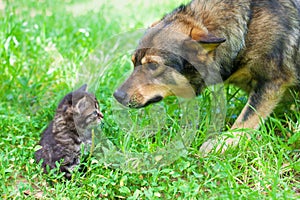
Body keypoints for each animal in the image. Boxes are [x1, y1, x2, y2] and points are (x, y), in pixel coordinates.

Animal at [113, 0, 300, 153]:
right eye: (133, 62)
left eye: (153, 65)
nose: (117, 96)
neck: (247, 26)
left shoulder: (271, 81)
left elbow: (246, 117)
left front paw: (224, 142)